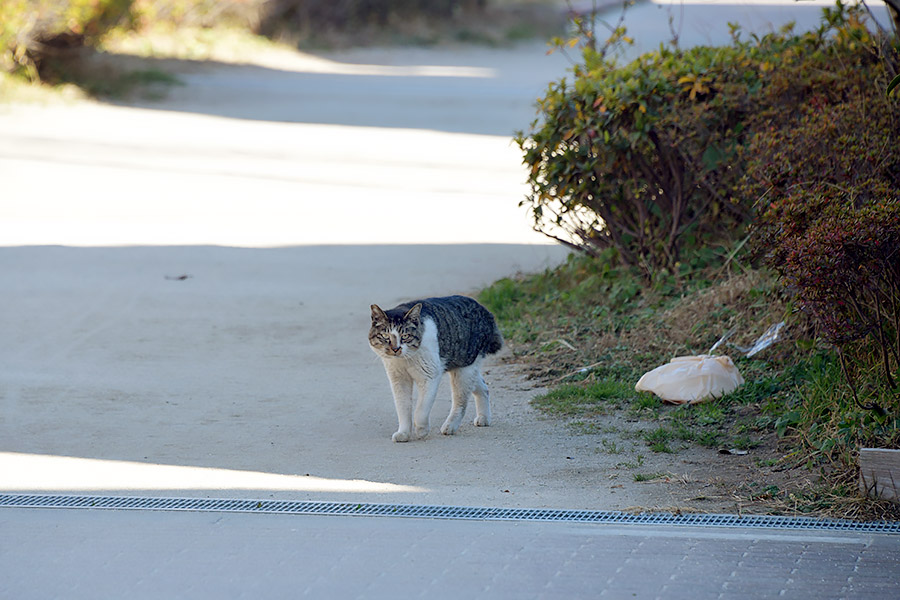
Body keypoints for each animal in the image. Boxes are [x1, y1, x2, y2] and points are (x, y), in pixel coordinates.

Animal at [370, 294, 502, 440]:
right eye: (385, 336)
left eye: (405, 336)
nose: (395, 349)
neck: (405, 360)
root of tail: (485, 311)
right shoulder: (398, 380)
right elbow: (403, 408)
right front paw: (403, 433)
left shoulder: (429, 376)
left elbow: (421, 409)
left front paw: (421, 430)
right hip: (465, 366)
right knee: (483, 387)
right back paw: (484, 418)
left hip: (463, 371)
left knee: (461, 402)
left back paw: (450, 426)